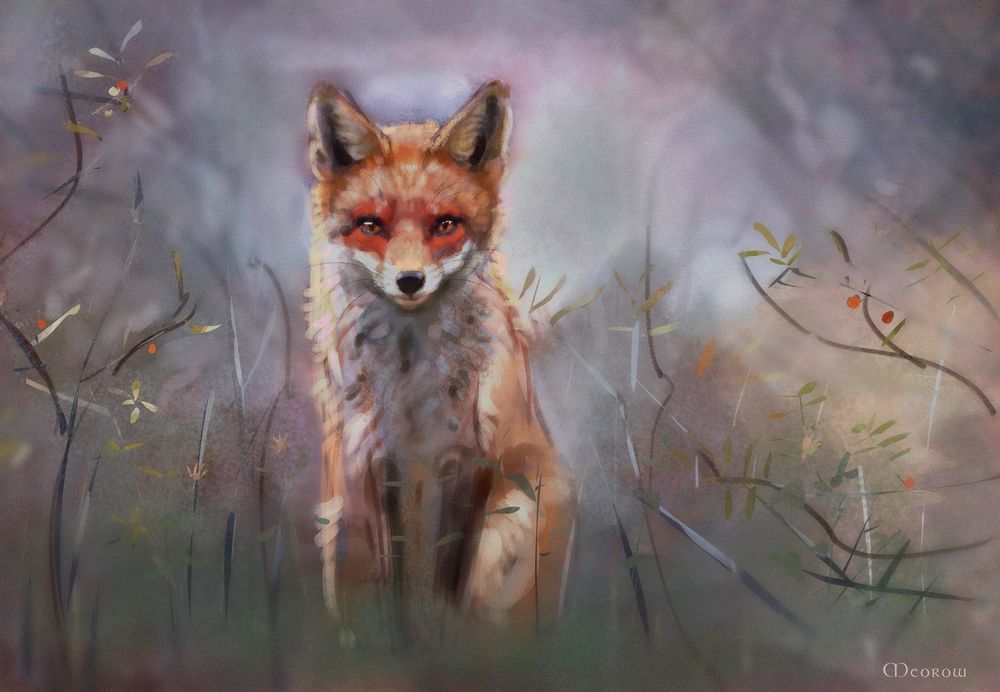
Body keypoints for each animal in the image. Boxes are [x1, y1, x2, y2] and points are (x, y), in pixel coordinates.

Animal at [303, 79, 573, 638]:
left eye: (445, 224)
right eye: (371, 226)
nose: (410, 280)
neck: (412, 383)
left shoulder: (466, 458)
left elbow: (448, 572)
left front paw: (439, 637)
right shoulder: (375, 459)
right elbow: (396, 576)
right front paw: (400, 638)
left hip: (521, 507)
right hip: (340, 518)